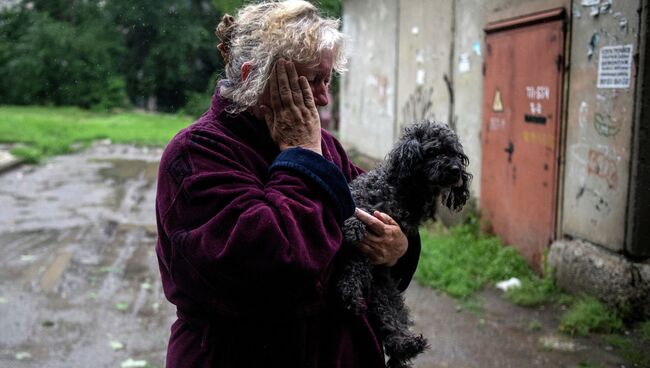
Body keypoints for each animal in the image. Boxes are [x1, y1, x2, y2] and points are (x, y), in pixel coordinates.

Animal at [336, 121, 468, 368]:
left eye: (456, 153)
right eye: (435, 150)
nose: (456, 170)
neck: (407, 191)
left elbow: (360, 261)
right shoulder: (362, 199)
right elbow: (361, 214)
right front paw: (354, 226)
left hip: (384, 289)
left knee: (391, 316)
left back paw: (406, 344)